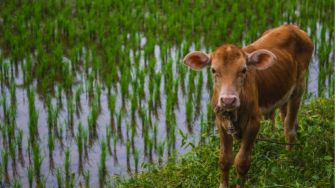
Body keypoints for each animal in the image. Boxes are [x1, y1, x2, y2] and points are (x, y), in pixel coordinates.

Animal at [182, 24, 314, 187]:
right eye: (213, 70)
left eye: (244, 70)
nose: (228, 100)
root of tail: (291, 27)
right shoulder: (221, 122)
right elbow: (224, 159)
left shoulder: (254, 122)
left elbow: (242, 162)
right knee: (286, 118)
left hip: (299, 87)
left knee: (289, 127)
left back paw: (289, 158)